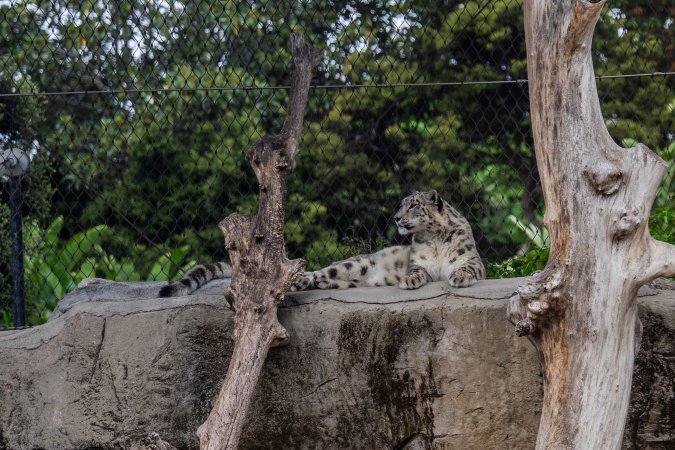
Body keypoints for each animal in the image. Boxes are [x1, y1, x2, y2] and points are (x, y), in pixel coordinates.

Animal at [291, 190, 485, 291]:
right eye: (402, 204)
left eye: (414, 205)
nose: (397, 218)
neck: (434, 238)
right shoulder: (420, 264)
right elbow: (416, 270)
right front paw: (410, 280)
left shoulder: (471, 259)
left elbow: (467, 267)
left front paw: (460, 277)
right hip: (355, 264)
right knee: (323, 270)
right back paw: (299, 281)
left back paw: (320, 283)